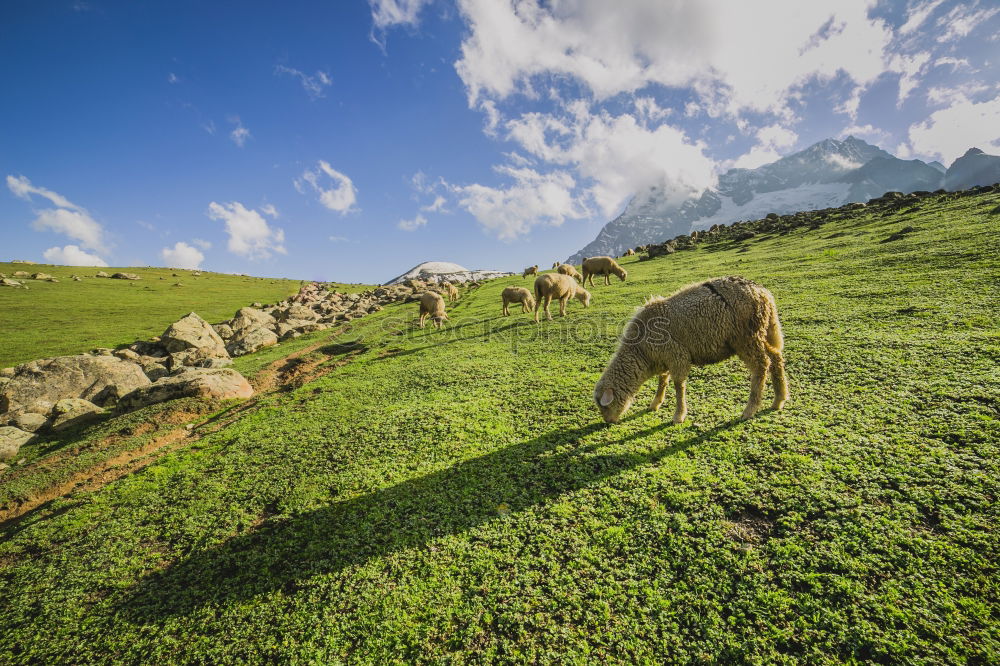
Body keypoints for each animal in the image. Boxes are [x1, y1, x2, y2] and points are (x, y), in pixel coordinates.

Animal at [592, 274, 788, 420]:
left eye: (605, 407)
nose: (608, 422)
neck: (641, 352)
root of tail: (763, 292)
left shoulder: (677, 356)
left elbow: (678, 386)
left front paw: (679, 415)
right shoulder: (666, 358)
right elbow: (663, 380)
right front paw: (656, 403)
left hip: (747, 337)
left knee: (762, 365)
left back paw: (750, 410)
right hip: (762, 330)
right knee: (776, 357)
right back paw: (779, 400)